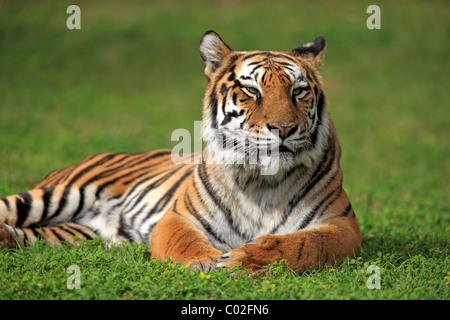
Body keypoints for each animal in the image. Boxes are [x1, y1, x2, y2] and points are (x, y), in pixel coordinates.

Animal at [0, 30, 360, 272]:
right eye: (251, 90)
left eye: (298, 91)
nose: (283, 129)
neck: (262, 181)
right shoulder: (178, 216)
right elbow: (184, 241)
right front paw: (205, 261)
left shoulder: (341, 225)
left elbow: (302, 244)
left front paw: (245, 260)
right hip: (57, 194)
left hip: (76, 233)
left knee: (28, 235)